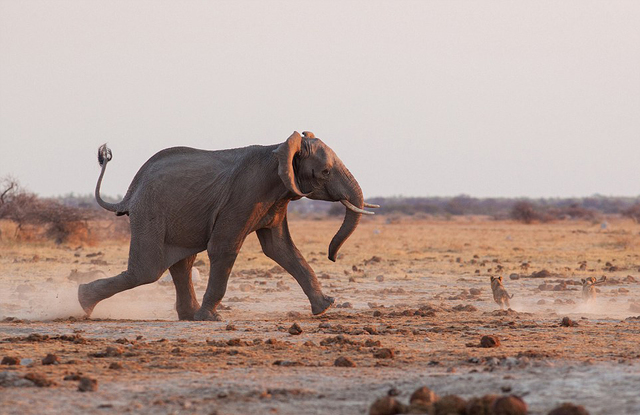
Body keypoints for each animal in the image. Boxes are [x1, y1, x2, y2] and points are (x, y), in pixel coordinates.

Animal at [77, 131, 378, 322]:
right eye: (325, 172)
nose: (332, 257)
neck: (280, 148)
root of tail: (130, 193)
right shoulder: (245, 195)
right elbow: (225, 248)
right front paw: (212, 318)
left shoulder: (276, 198)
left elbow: (280, 249)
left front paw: (325, 308)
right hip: (150, 212)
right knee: (147, 271)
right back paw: (83, 303)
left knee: (180, 264)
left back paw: (188, 317)